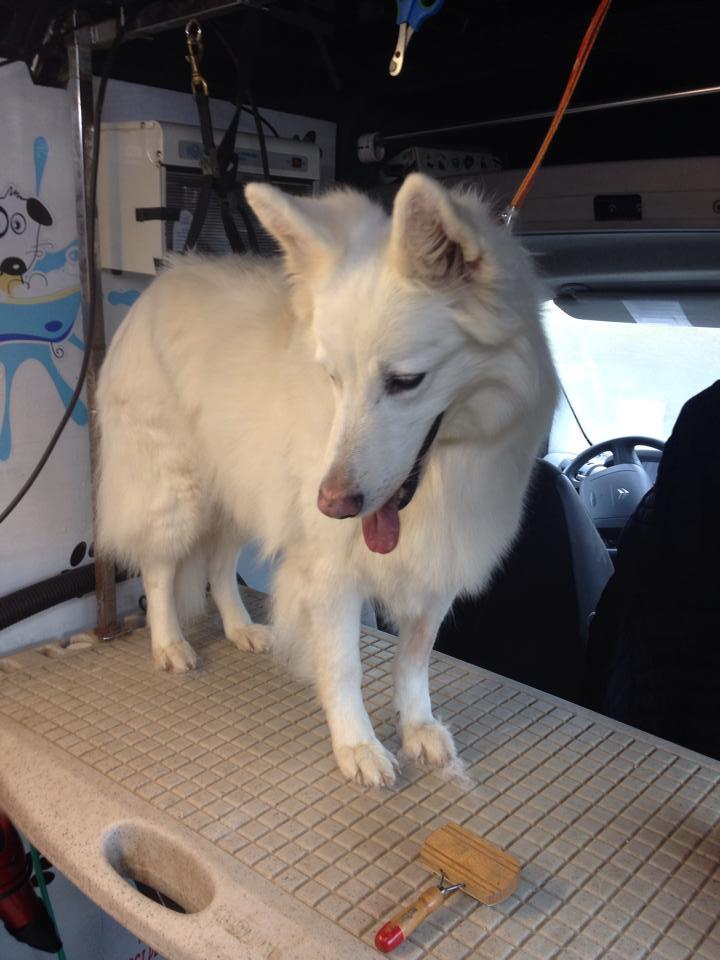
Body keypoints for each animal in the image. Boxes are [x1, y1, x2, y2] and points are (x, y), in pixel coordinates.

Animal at [95, 174, 556, 788]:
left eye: (405, 381)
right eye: (332, 377)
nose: (333, 505)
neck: (440, 477)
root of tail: (160, 282)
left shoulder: (437, 565)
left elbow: (414, 659)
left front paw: (417, 727)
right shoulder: (331, 572)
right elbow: (343, 666)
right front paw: (357, 745)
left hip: (243, 497)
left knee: (218, 566)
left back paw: (241, 628)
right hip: (178, 495)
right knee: (160, 568)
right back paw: (169, 644)